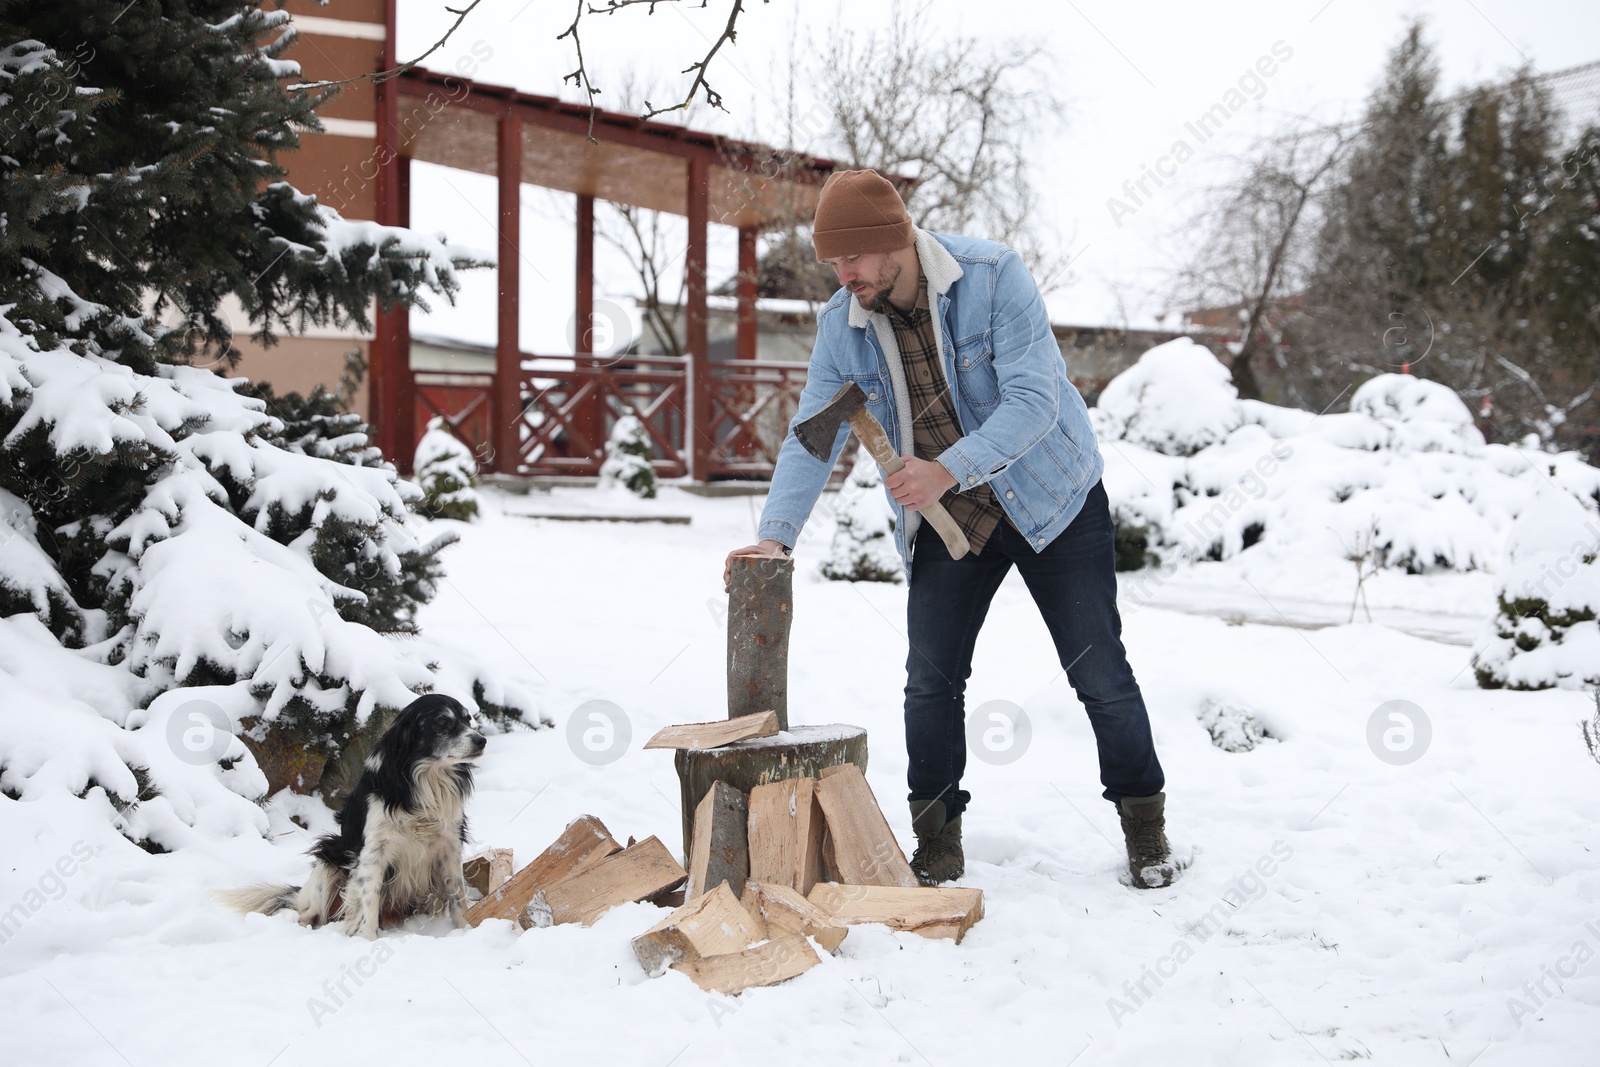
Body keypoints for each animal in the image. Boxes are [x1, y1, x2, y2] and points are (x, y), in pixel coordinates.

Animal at [220, 694, 486, 934]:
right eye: (442, 722)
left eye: (468, 720)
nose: (481, 740)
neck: (425, 783)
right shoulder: (372, 853)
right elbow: (368, 902)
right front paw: (367, 940)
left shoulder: (449, 846)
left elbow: (458, 895)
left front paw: (466, 929)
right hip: (329, 856)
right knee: (309, 913)